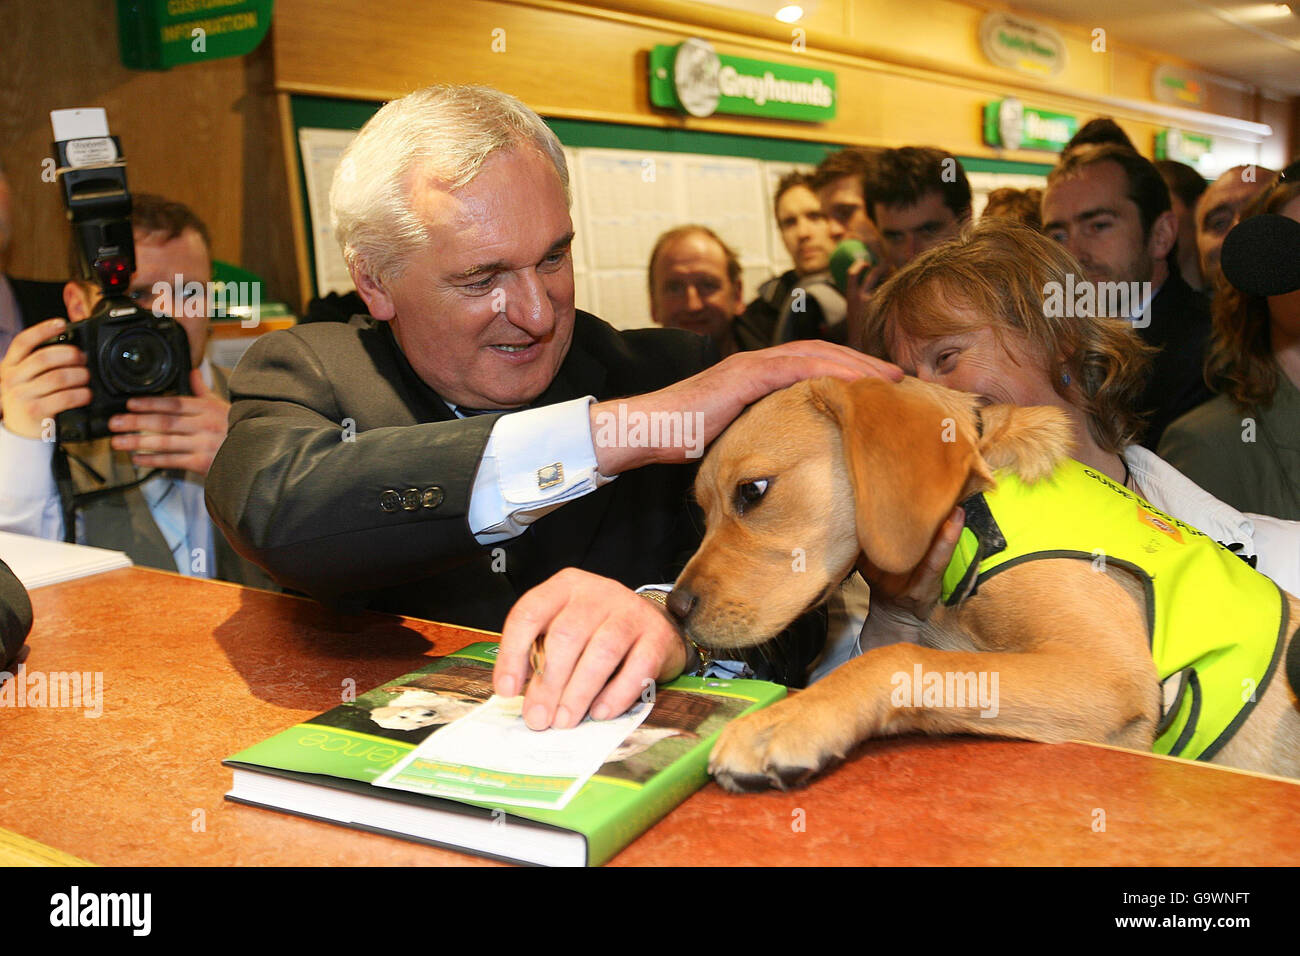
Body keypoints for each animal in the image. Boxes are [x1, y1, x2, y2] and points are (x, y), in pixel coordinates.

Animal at [670, 379, 1300, 790]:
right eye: (700, 510)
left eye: (753, 491)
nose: (673, 609)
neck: (978, 507)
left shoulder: (1109, 677)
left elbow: (894, 659)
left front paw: (785, 720)